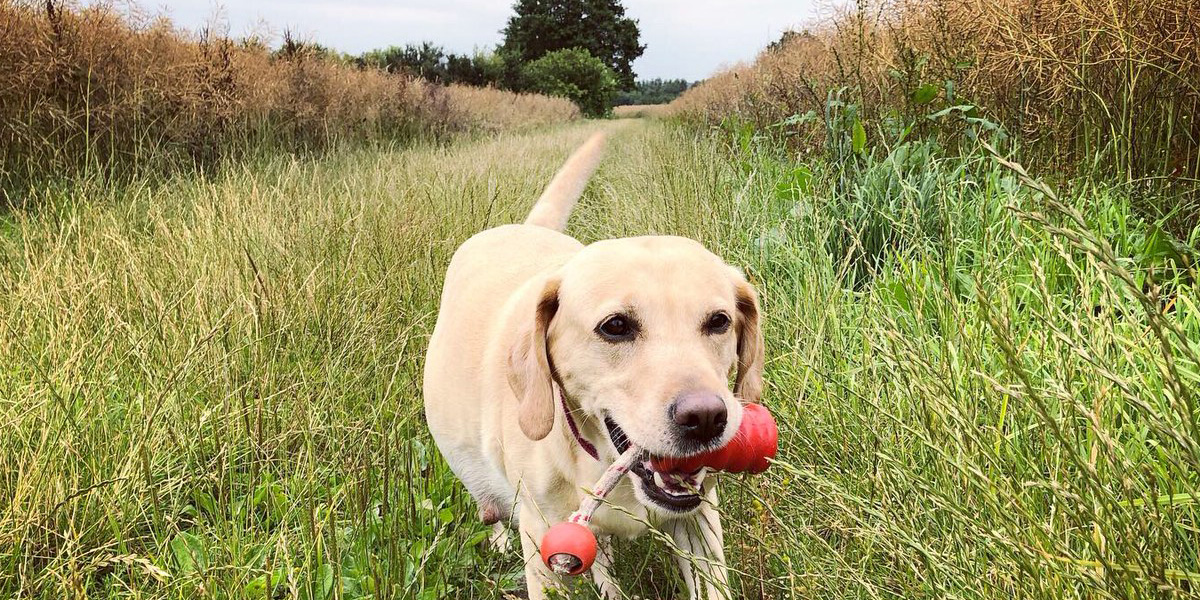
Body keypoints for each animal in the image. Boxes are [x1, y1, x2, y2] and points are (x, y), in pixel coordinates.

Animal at [422, 131, 758, 600]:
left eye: (719, 321)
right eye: (615, 326)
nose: (706, 418)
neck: (603, 463)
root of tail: (525, 228)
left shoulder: (699, 520)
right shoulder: (543, 546)